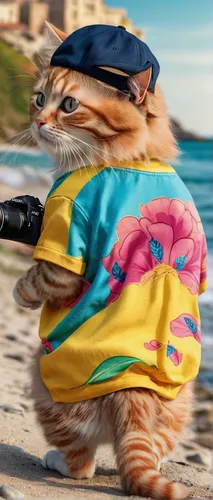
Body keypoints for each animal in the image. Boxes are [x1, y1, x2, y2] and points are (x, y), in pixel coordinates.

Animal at [12, 21, 195, 498]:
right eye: (39, 98)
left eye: (69, 105)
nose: (37, 120)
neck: (134, 155)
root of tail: (133, 391)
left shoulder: (65, 222)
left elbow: (40, 277)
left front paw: (19, 292)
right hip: (179, 403)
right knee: (154, 447)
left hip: (43, 382)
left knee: (81, 463)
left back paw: (58, 460)